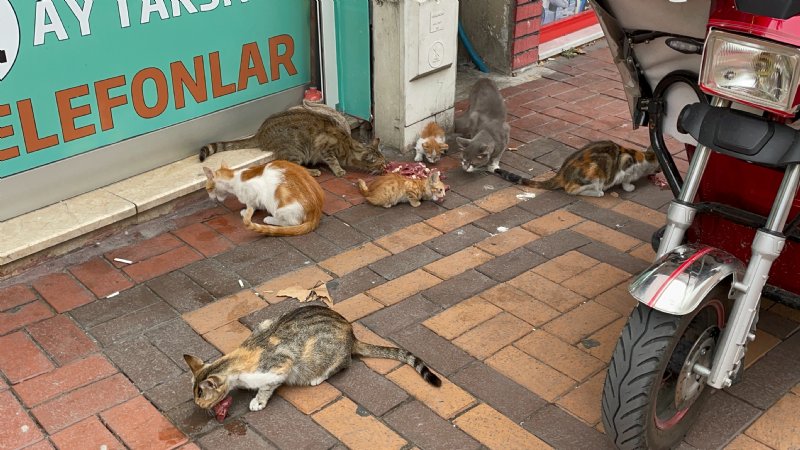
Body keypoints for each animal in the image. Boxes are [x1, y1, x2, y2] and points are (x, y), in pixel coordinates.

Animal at [202, 109, 386, 178]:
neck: (348, 146)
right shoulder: (325, 146)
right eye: (381, 164)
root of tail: (260, 132)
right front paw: (339, 170)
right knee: (291, 165)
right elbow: (333, 160)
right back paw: (312, 171)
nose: (387, 167)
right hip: (297, 150)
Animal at [496, 141, 660, 197]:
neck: (645, 158)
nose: (660, 172)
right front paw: (629, 186)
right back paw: (598, 192)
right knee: (571, 190)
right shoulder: (626, 163)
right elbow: (626, 179)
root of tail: (562, 172)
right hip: (595, 172)